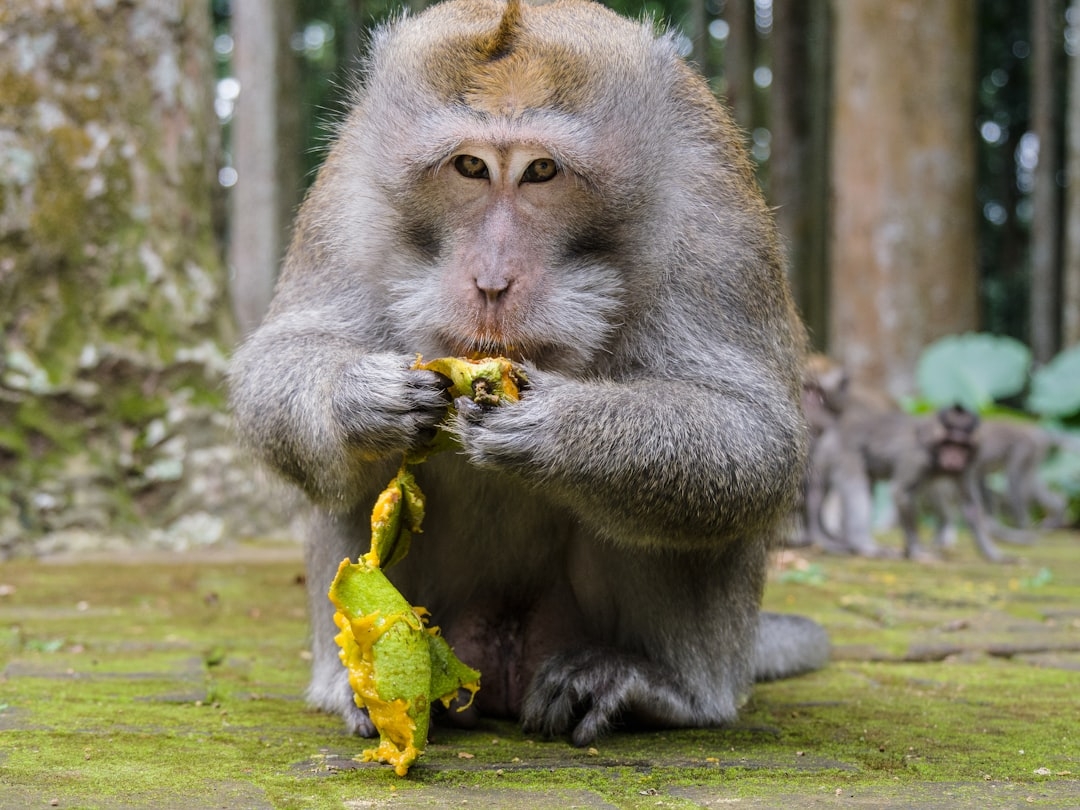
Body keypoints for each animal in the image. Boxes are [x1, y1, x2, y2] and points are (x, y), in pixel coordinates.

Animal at [230, 0, 825, 747]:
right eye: (470, 167)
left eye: (541, 170)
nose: (491, 281)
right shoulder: (350, 187)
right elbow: (278, 359)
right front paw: (365, 401)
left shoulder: (709, 200)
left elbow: (756, 436)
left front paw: (555, 429)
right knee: (354, 482)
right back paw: (370, 687)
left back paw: (660, 689)